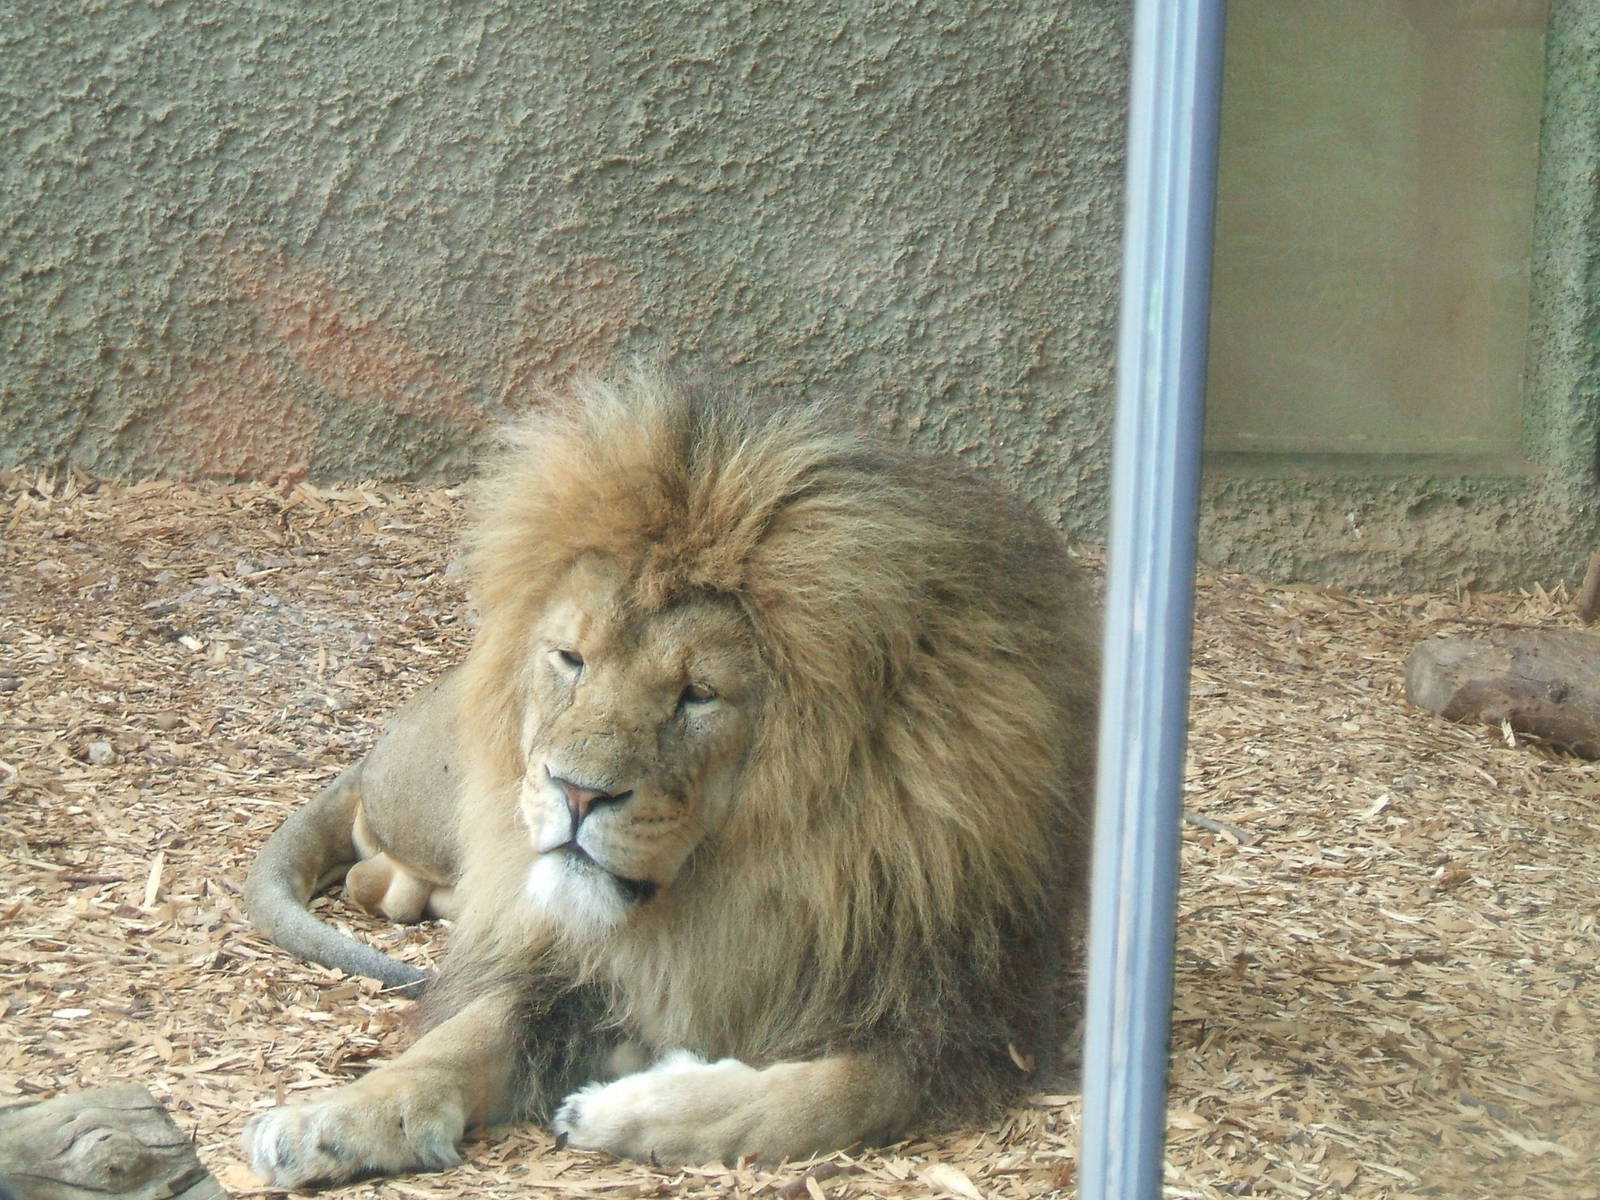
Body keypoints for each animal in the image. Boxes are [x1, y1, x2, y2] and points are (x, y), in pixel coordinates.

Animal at [241, 372, 1100, 1186]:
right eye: (571, 658)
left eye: (697, 695)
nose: (578, 793)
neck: (741, 890)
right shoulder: (563, 967)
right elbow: (459, 1038)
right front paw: (331, 1119)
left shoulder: (961, 1023)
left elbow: (816, 1097)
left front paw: (619, 1109)